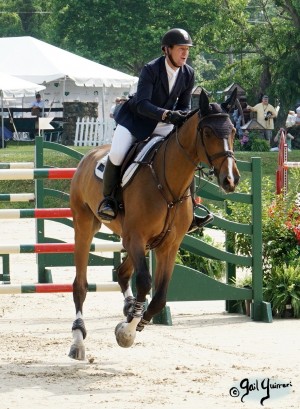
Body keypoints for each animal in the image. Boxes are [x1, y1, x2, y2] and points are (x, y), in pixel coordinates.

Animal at [68, 88, 239, 356]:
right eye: (208, 132)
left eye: (232, 131)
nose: (230, 180)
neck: (169, 185)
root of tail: (89, 156)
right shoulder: (136, 237)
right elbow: (145, 282)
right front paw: (127, 331)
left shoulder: (168, 244)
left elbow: (158, 296)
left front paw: (134, 322)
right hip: (86, 225)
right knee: (81, 284)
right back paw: (78, 338)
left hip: (142, 240)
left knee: (122, 273)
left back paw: (129, 307)